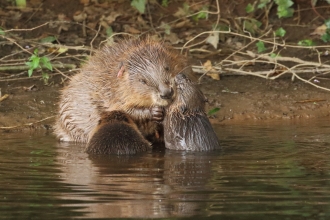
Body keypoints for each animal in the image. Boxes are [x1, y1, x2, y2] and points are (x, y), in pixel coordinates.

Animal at [54, 37, 188, 144]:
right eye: (143, 81)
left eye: (167, 68)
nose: (166, 93)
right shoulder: (112, 93)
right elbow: (124, 110)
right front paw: (155, 112)